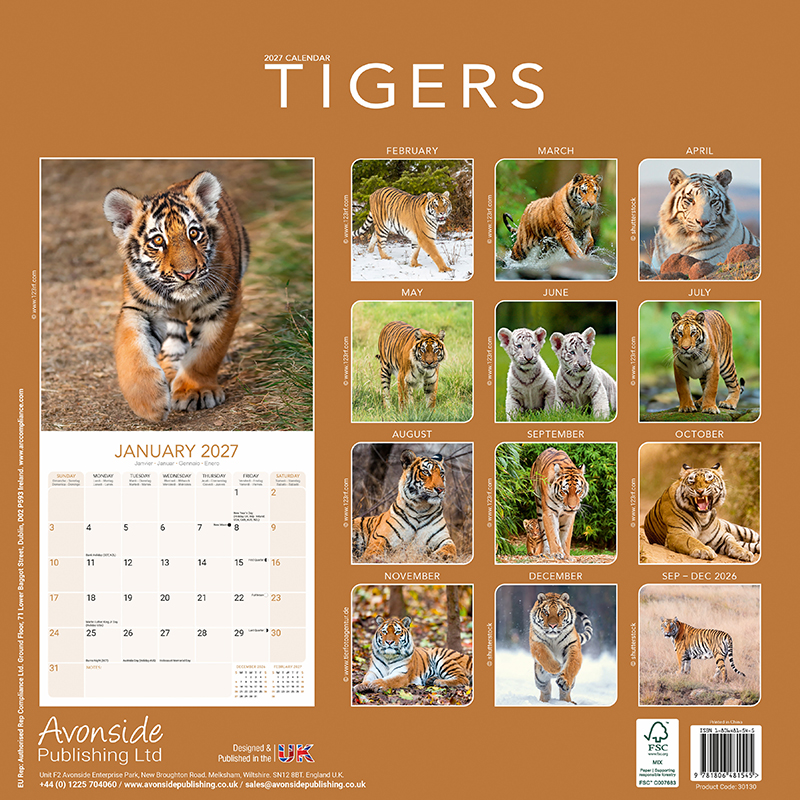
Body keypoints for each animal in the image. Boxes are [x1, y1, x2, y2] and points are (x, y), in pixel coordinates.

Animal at [103, 171, 249, 423]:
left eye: (194, 233)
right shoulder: (139, 308)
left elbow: (206, 353)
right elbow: (131, 350)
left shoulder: (222, 305)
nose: (187, 273)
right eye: (158, 241)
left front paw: (195, 391)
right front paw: (149, 403)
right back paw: (170, 371)